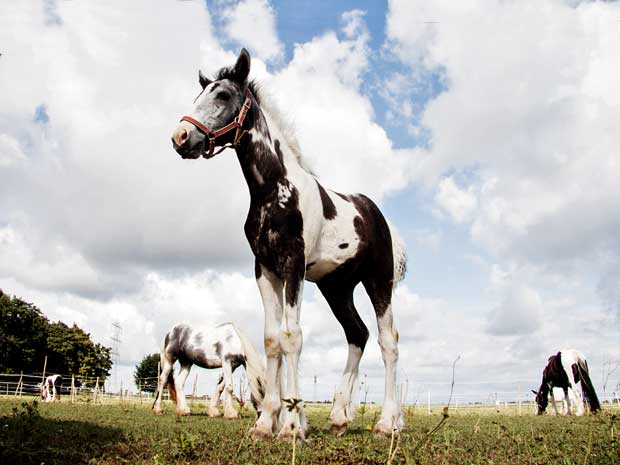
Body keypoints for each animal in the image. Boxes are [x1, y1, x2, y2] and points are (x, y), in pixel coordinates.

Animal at [172, 49, 410, 438]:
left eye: (223, 95)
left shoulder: (293, 267)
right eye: (199, 96)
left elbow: (292, 335)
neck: (274, 190)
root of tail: (379, 217)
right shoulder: (266, 270)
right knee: (356, 334)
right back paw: (339, 417)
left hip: (378, 281)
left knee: (387, 341)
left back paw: (387, 422)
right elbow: (272, 339)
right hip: (336, 287)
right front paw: (267, 421)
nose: (180, 137)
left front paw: (292, 425)